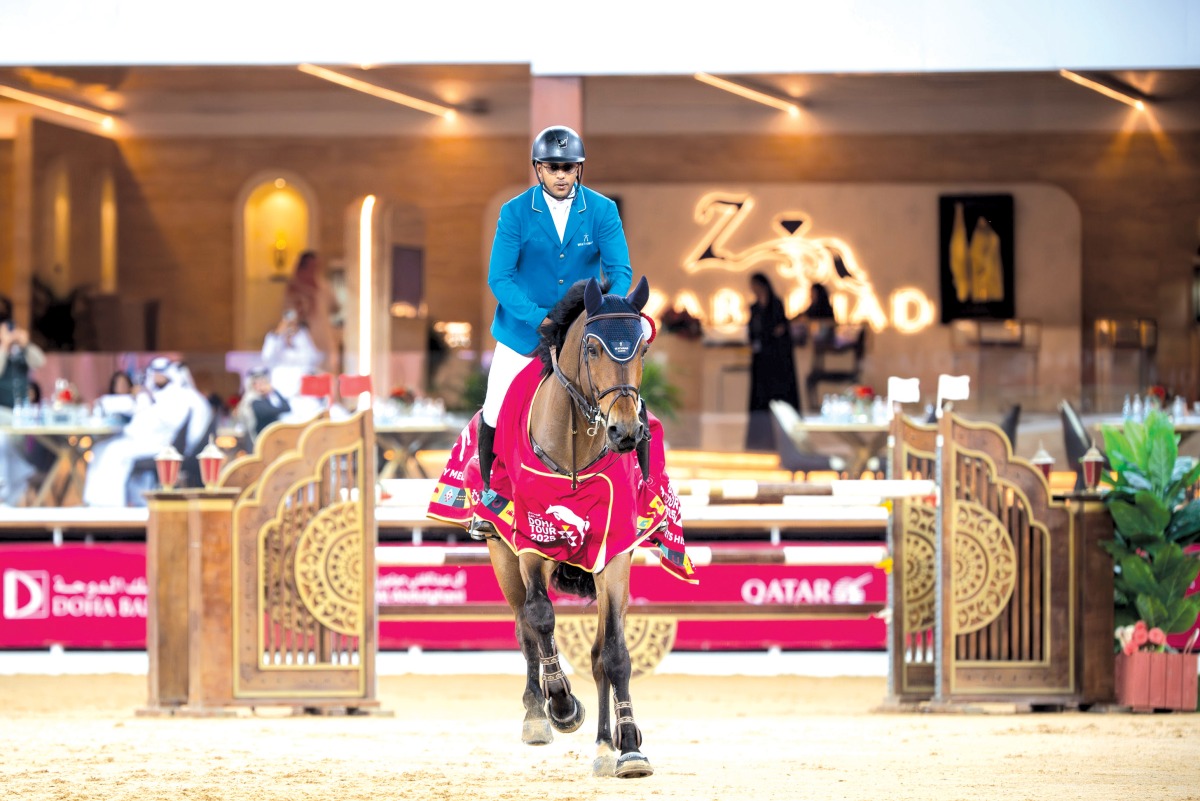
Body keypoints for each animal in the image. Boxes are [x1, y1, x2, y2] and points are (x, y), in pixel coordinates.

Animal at [482, 275, 657, 777]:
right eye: (593, 349)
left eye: (642, 348)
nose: (625, 433)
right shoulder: (530, 544)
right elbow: (540, 618)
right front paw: (561, 705)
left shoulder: (613, 555)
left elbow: (613, 654)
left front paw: (629, 746)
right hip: (502, 557)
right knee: (525, 626)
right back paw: (537, 714)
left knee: (597, 653)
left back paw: (604, 746)